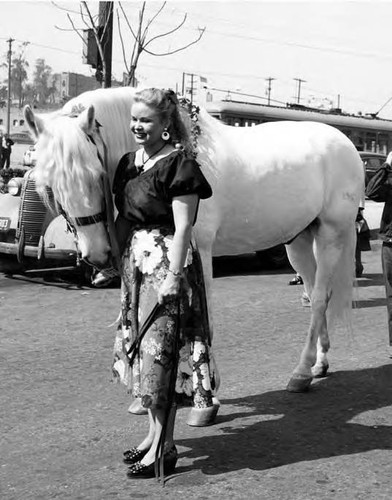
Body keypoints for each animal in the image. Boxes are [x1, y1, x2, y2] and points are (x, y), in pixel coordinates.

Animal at [23, 86, 362, 392]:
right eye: (50, 184)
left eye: (95, 174)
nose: (95, 253)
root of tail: (346, 144)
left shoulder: (200, 250)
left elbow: (204, 317)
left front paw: (209, 382)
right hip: (298, 240)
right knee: (314, 290)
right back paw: (319, 362)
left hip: (331, 235)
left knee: (319, 297)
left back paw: (301, 372)